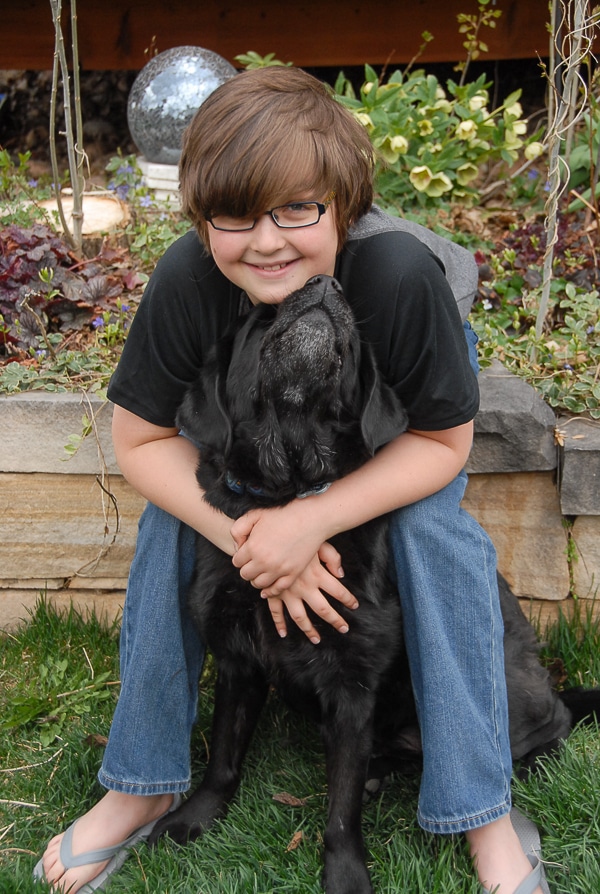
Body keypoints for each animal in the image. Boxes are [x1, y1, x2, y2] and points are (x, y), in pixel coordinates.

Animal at [152, 276, 600, 892]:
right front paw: (195, 817)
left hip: (507, 687)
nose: (325, 284)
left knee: (543, 730)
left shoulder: (353, 684)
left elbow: (340, 810)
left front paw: (344, 875)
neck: (288, 494)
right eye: (263, 317)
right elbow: (223, 756)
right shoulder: (239, 662)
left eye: (359, 349)